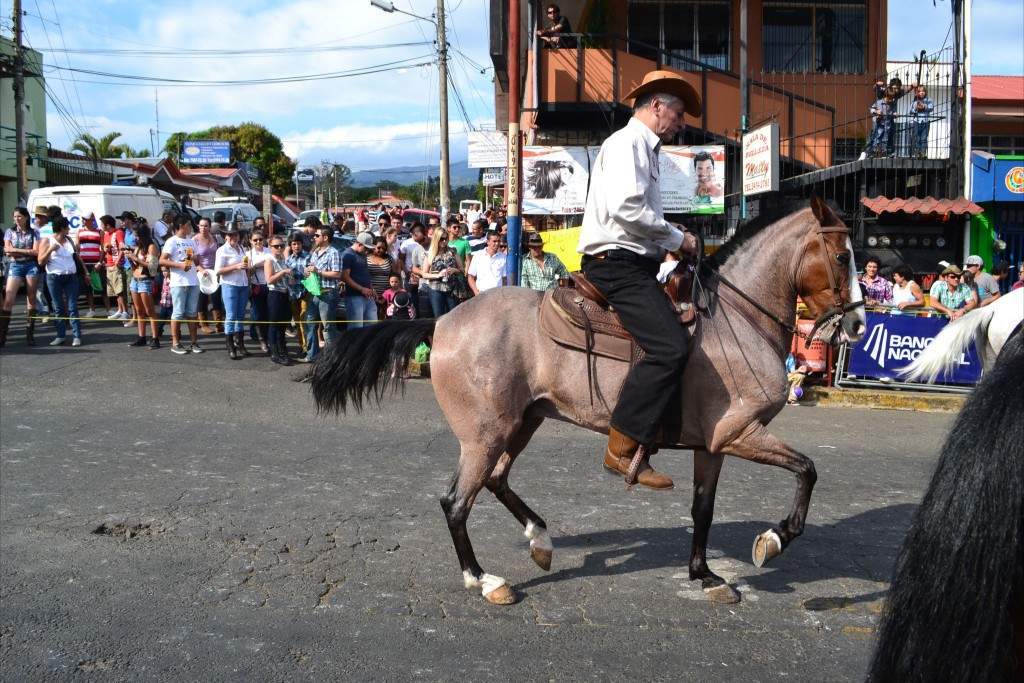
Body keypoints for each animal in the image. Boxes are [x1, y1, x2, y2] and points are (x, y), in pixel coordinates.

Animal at [311, 194, 864, 606]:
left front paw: (705, 575)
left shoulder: (714, 444)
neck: (734, 321)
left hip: (522, 422)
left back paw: (540, 539)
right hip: (485, 434)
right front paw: (774, 540)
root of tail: (442, 321)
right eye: (842, 256)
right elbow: (807, 469)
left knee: (495, 480)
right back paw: (485, 580)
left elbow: (703, 509)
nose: (859, 324)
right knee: (456, 501)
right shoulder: (741, 433)